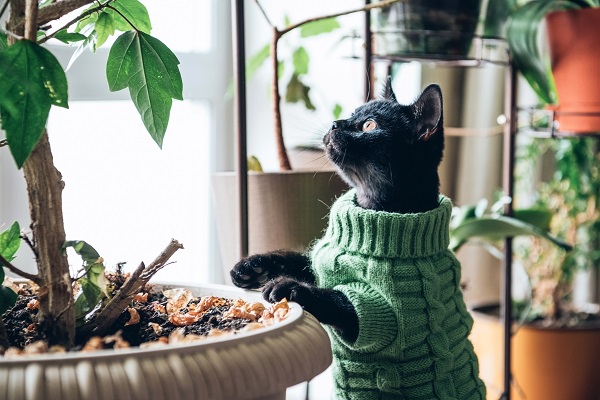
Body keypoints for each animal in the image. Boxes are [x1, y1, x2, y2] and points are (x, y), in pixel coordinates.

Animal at [230, 83, 488, 398]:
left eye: (369, 126)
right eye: (353, 114)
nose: (335, 123)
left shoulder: (380, 317)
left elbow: (334, 297)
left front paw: (287, 287)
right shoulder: (320, 262)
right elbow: (295, 257)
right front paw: (252, 267)